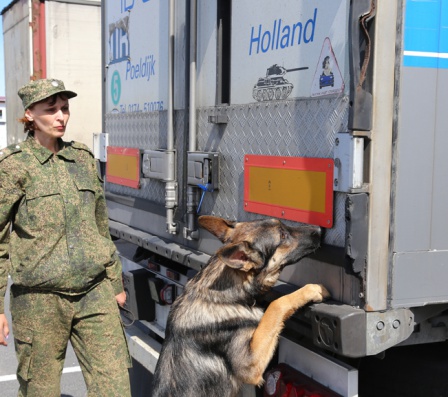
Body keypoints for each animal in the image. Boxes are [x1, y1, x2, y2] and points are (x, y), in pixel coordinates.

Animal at [152, 217, 330, 396]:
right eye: (282, 235)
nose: (320, 230)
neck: (226, 291)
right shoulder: (250, 365)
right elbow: (277, 304)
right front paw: (312, 289)